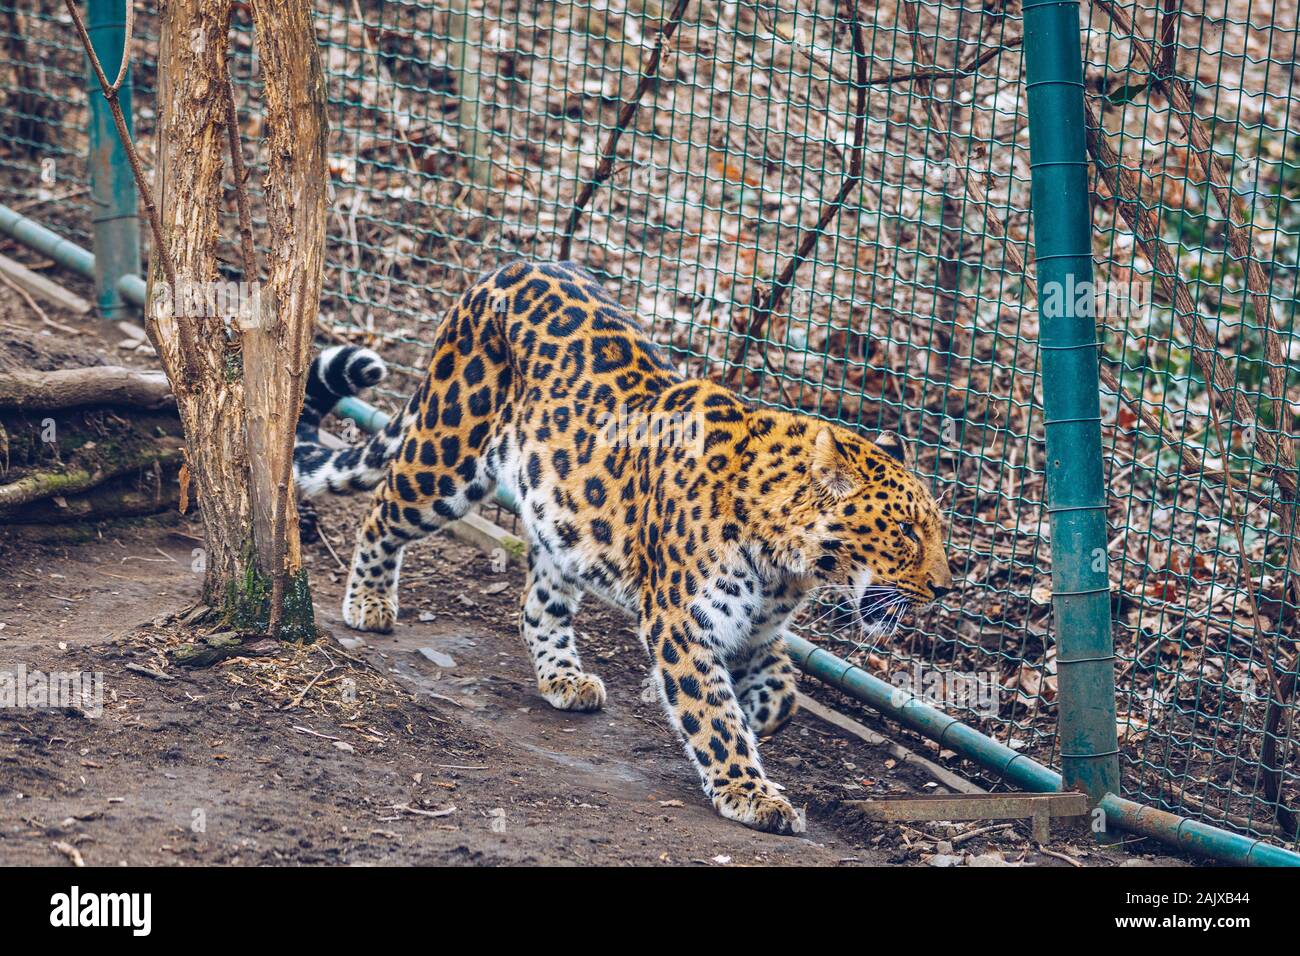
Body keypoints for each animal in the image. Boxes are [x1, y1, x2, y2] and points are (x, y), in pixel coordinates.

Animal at [294, 260, 953, 834]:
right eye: (907, 531)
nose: (946, 589)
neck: (787, 564)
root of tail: (499, 270)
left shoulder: (757, 628)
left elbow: (782, 697)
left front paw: (747, 716)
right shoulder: (683, 620)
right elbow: (713, 715)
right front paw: (749, 792)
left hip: (561, 518)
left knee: (537, 605)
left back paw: (564, 678)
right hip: (448, 454)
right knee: (382, 508)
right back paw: (369, 603)